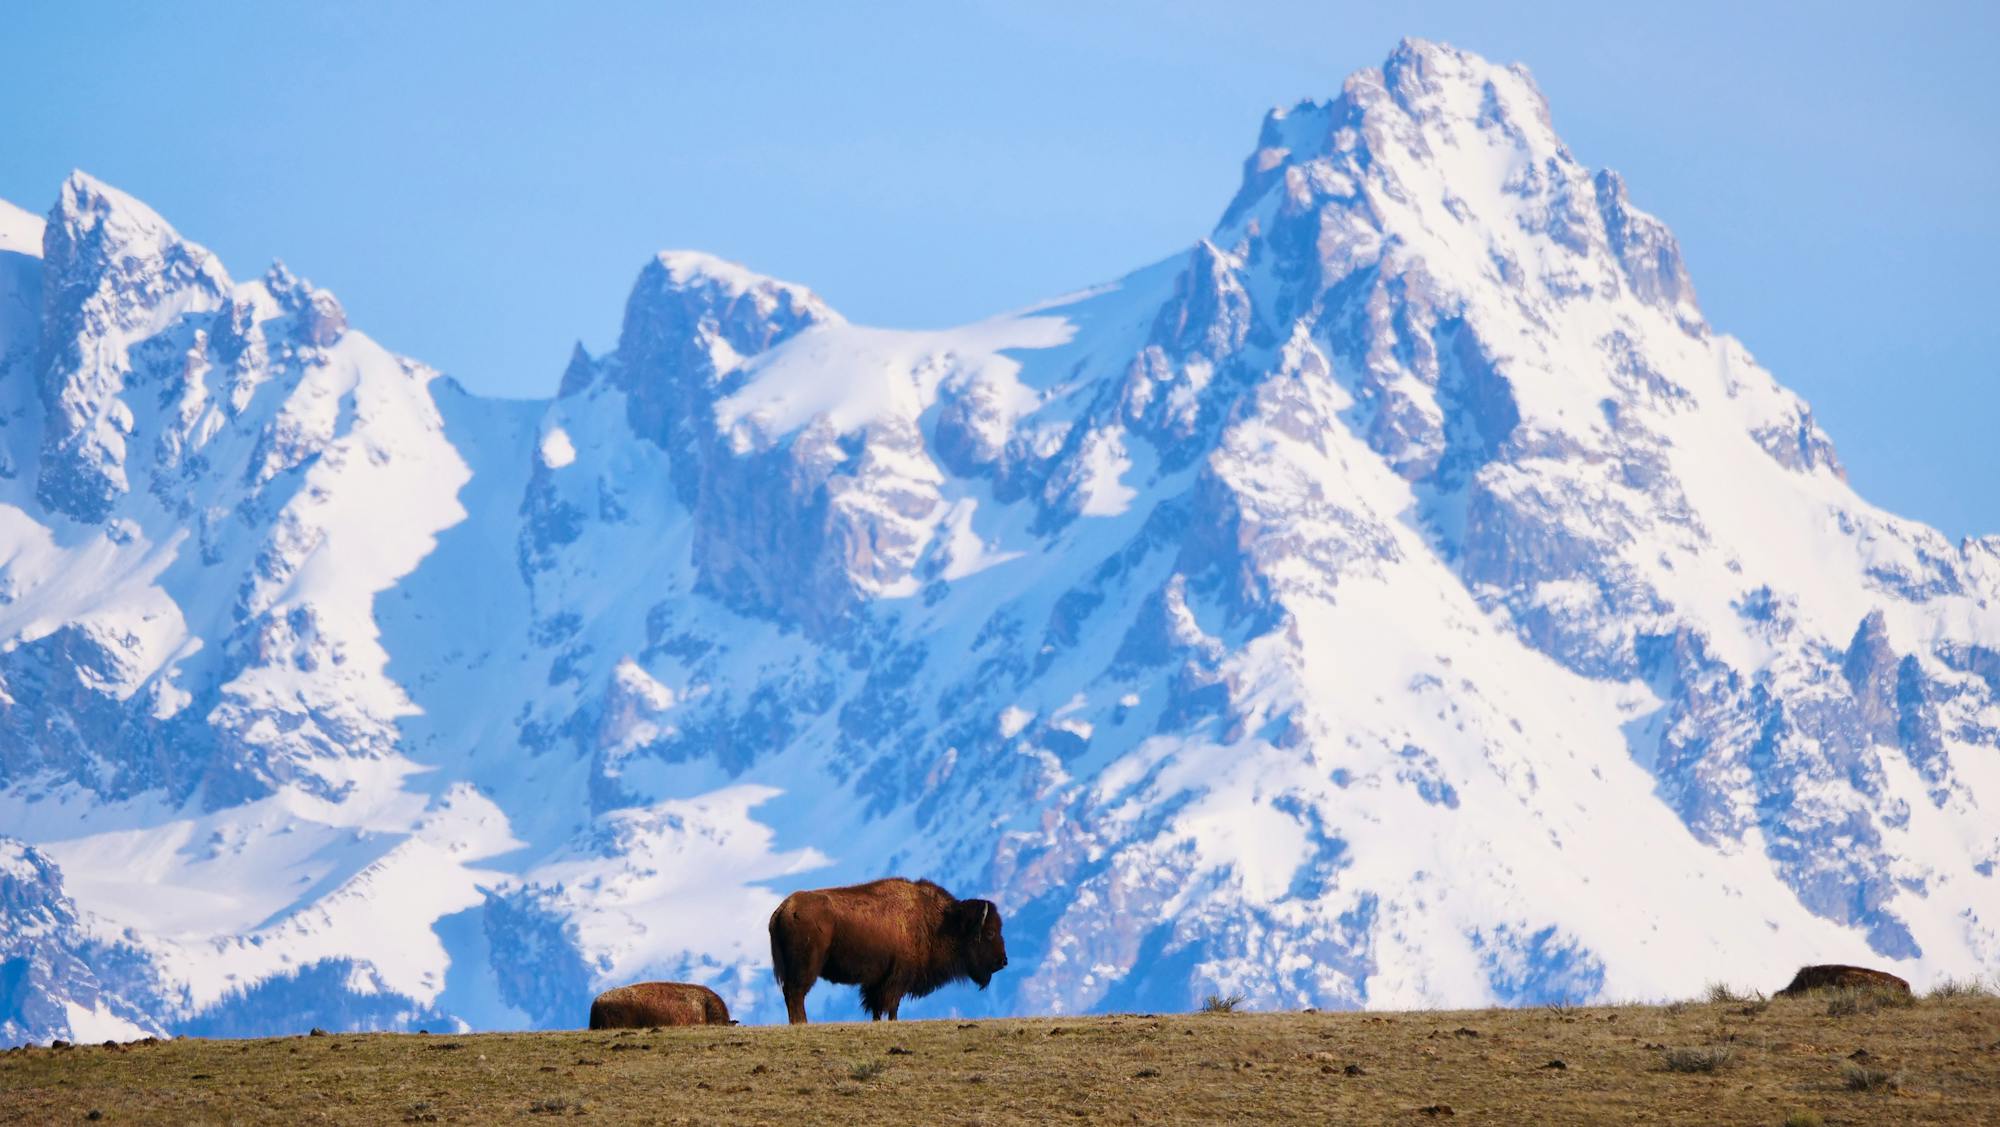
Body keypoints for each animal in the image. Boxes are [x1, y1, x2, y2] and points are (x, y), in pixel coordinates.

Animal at [768, 875, 1008, 1023]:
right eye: (989, 933)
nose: (1003, 961)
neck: (940, 922)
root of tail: (784, 909)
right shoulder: (896, 979)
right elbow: (891, 1006)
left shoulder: (878, 983)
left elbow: (878, 1007)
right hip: (806, 968)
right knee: (796, 994)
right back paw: (802, 1023)